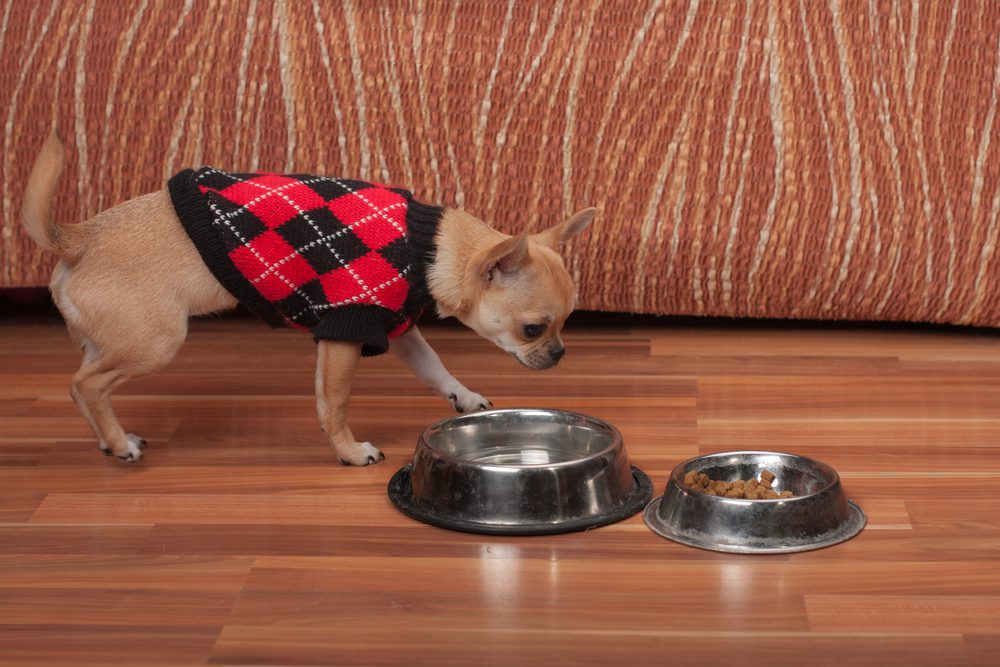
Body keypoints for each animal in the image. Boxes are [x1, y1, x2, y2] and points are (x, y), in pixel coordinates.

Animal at [21, 133, 592, 468]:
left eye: (567, 322)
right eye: (534, 329)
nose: (561, 353)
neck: (430, 247)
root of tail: (79, 237)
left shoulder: (400, 330)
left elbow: (435, 368)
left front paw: (463, 396)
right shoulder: (346, 331)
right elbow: (333, 404)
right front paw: (349, 450)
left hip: (107, 340)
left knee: (82, 383)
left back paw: (108, 437)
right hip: (156, 341)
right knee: (87, 384)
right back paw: (120, 444)